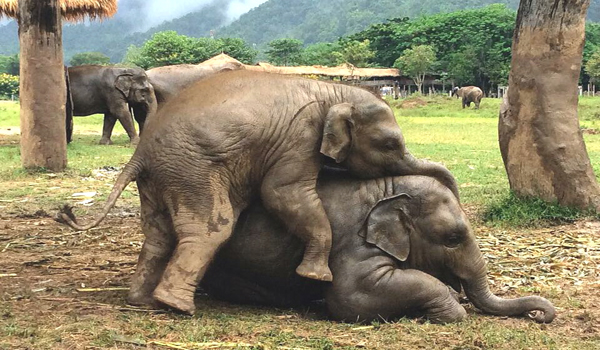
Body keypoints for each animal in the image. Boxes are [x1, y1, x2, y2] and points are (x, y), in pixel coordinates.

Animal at [57, 69, 460, 316]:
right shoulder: (300, 135)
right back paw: (177, 306)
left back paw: (143, 302)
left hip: (160, 179)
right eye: (390, 144)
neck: (333, 91)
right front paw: (316, 277)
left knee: (159, 235)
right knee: (211, 229)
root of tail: (138, 156)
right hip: (192, 171)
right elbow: (282, 192)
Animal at [203, 175, 556, 326]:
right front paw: (442, 310)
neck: (386, 190)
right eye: (453, 238)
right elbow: (350, 298)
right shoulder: (351, 241)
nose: (538, 315)